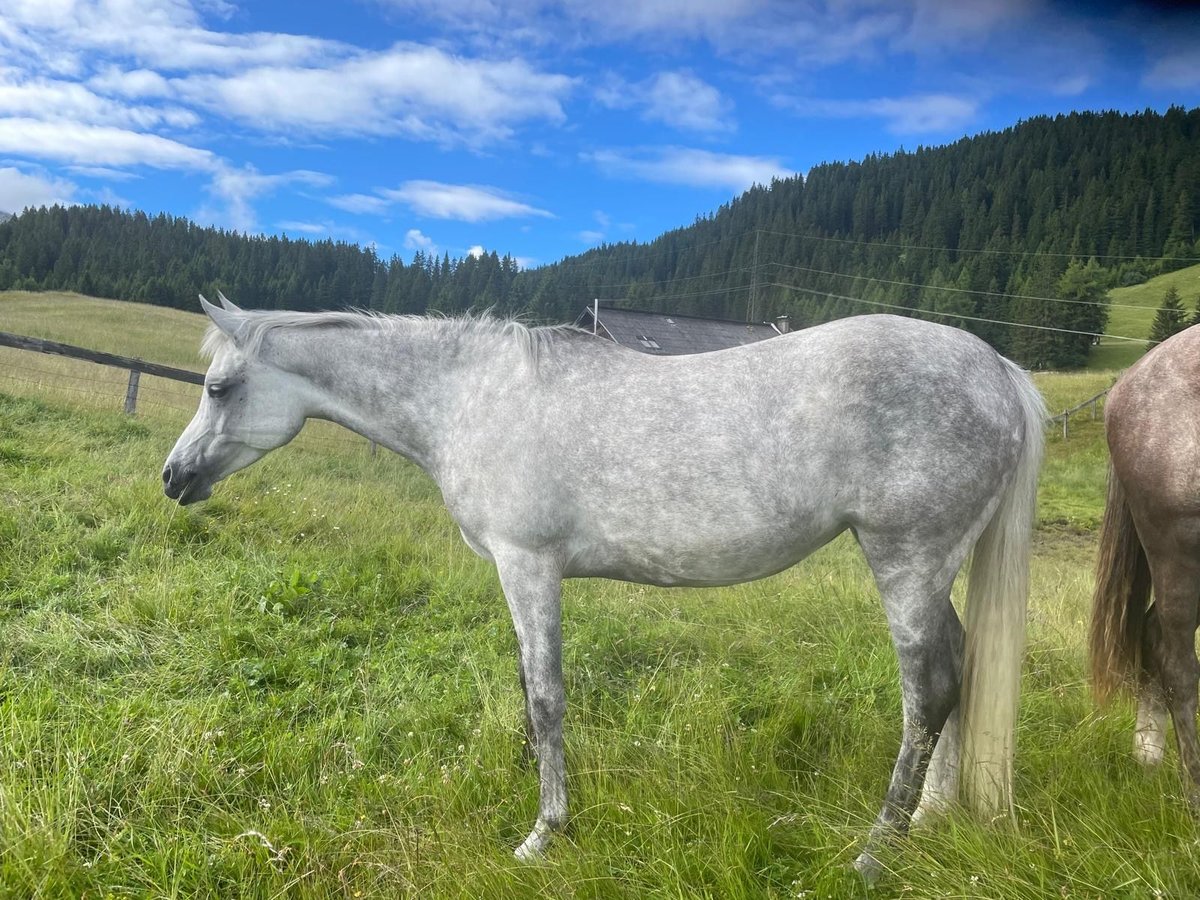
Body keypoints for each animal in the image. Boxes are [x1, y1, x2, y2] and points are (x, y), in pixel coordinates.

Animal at [164, 294, 1046, 883]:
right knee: (962, 668)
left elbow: (546, 697)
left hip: (907, 561)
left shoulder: (527, 565)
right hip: (935, 569)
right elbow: (532, 692)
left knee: (929, 691)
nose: (173, 478)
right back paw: (934, 815)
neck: (472, 396)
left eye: (217, 388)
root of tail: (998, 371)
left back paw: (876, 851)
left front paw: (544, 834)